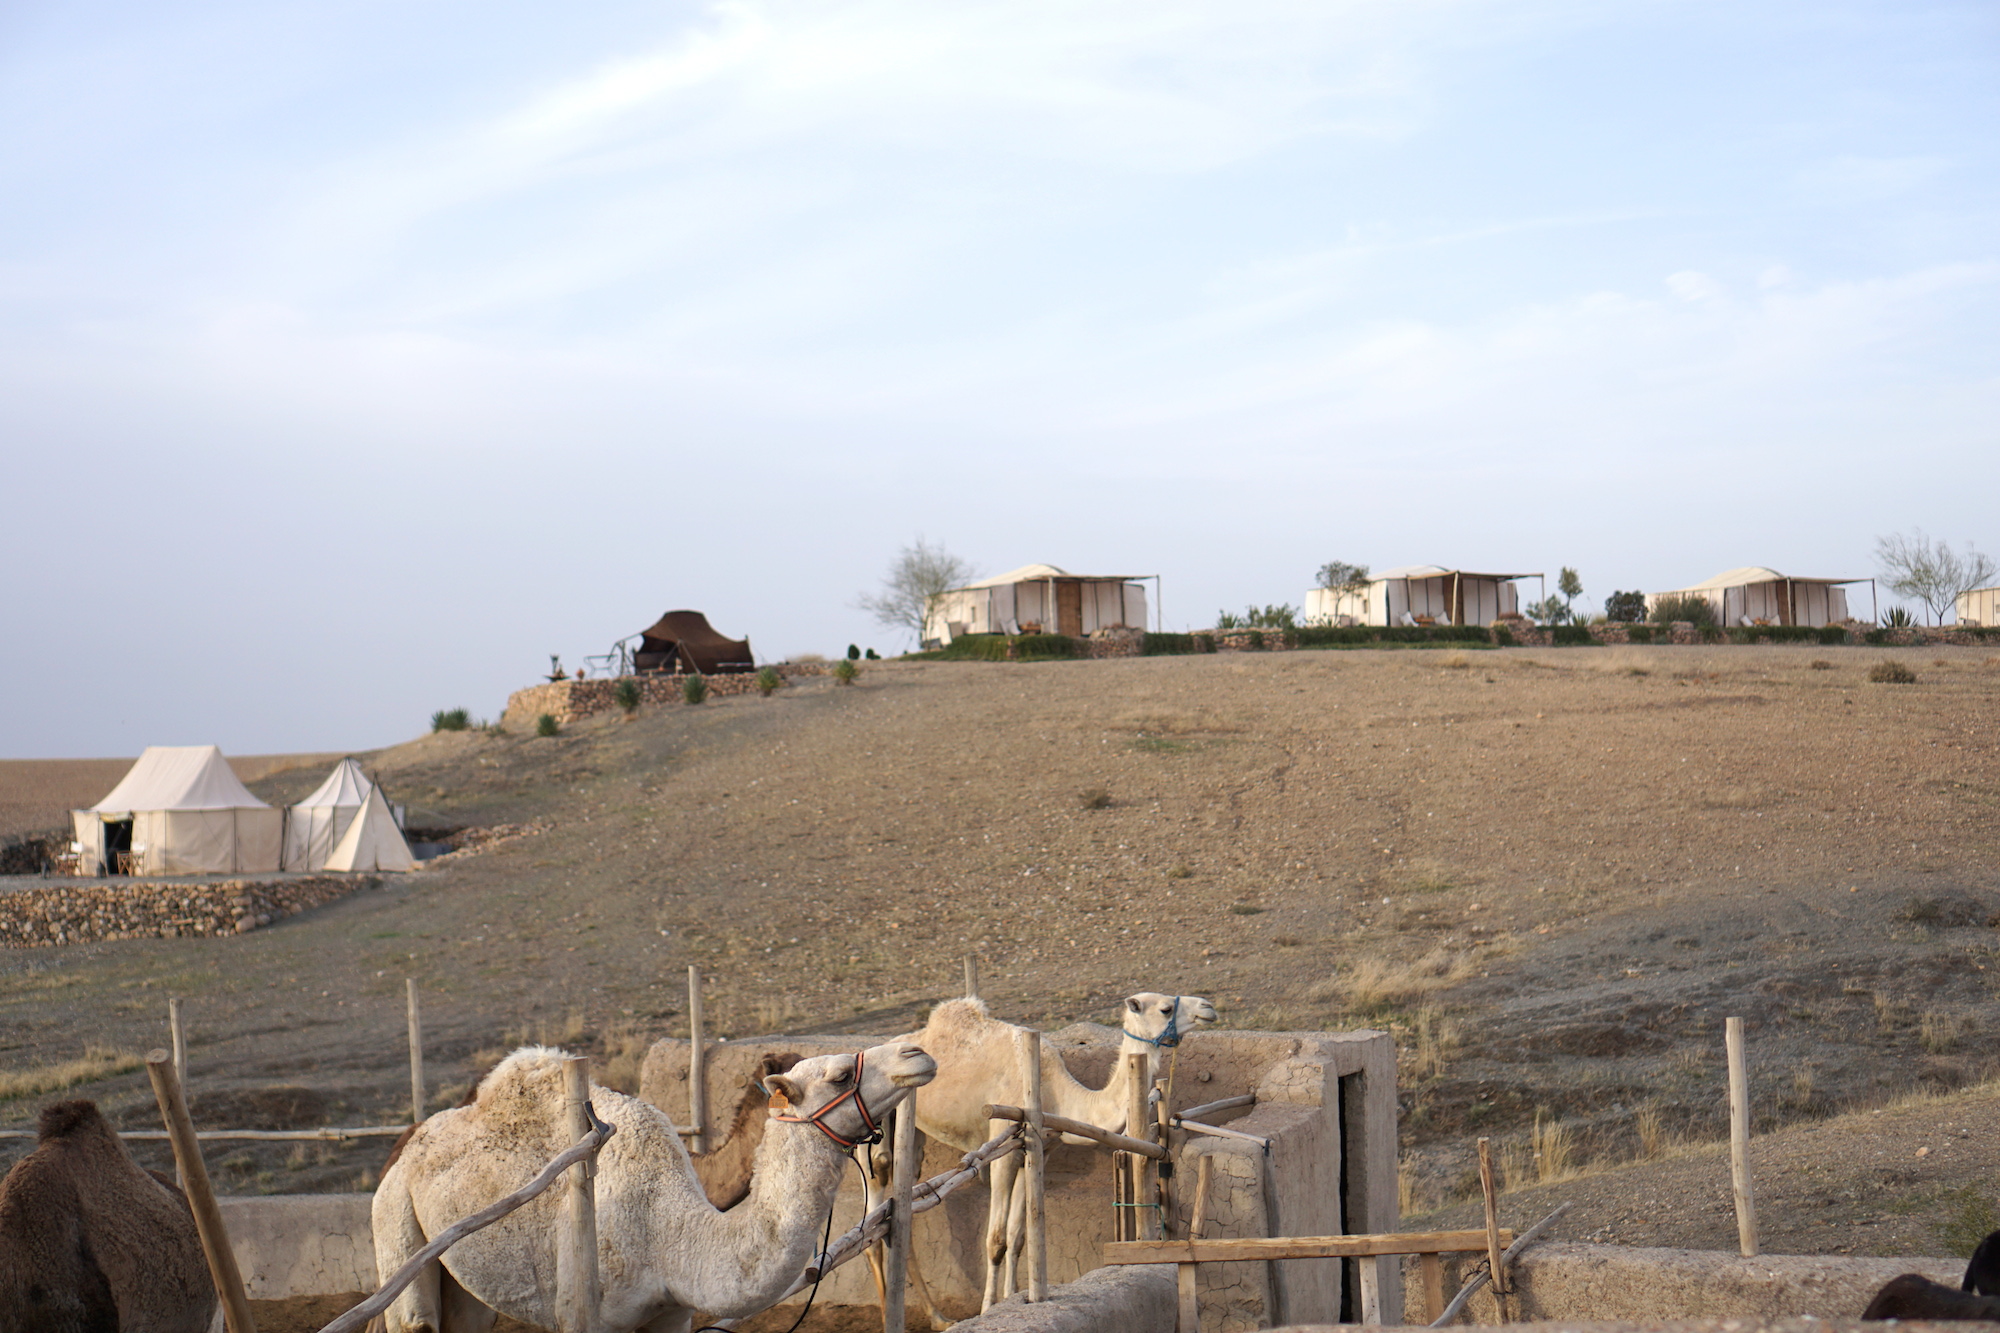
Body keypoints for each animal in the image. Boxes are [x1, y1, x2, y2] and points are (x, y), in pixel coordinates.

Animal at [372, 1040, 932, 1328]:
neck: (667, 1236)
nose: (917, 1052)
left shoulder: (670, 1315)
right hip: (395, 1225)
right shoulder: (580, 1312)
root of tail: (402, 1149)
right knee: (414, 1317)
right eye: (839, 1075)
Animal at [876, 984, 1216, 1304]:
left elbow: (1017, 1236)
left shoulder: (1037, 1148)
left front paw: (1012, 1296)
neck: (1056, 1092)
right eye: (1165, 1008)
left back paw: (934, 1315)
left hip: (915, 1127)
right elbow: (996, 1239)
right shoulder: (1001, 1149)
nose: (1208, 1007)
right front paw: (988, 1308)